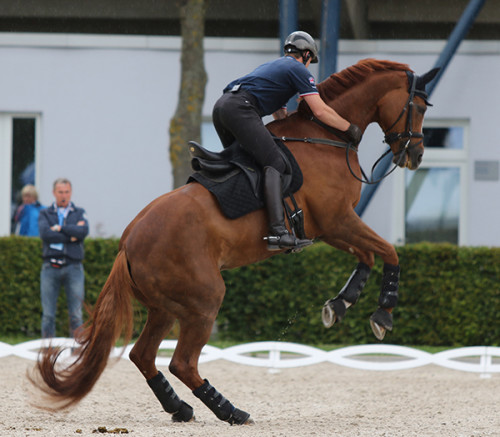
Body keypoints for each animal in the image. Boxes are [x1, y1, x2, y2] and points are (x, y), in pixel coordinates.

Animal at [32, 59, 438, 424]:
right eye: (419, 108)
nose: (416, 155)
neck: (325, 136)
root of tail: (127, 242)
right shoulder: (337, 221)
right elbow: (388, 250)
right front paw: (383, 313)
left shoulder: (332, 228)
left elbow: (368, 255)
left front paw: (340, 304)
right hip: (204, 299)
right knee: (182, 362)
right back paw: (231, 411)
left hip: (165, 307)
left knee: (144, 356)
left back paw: (180, 408)